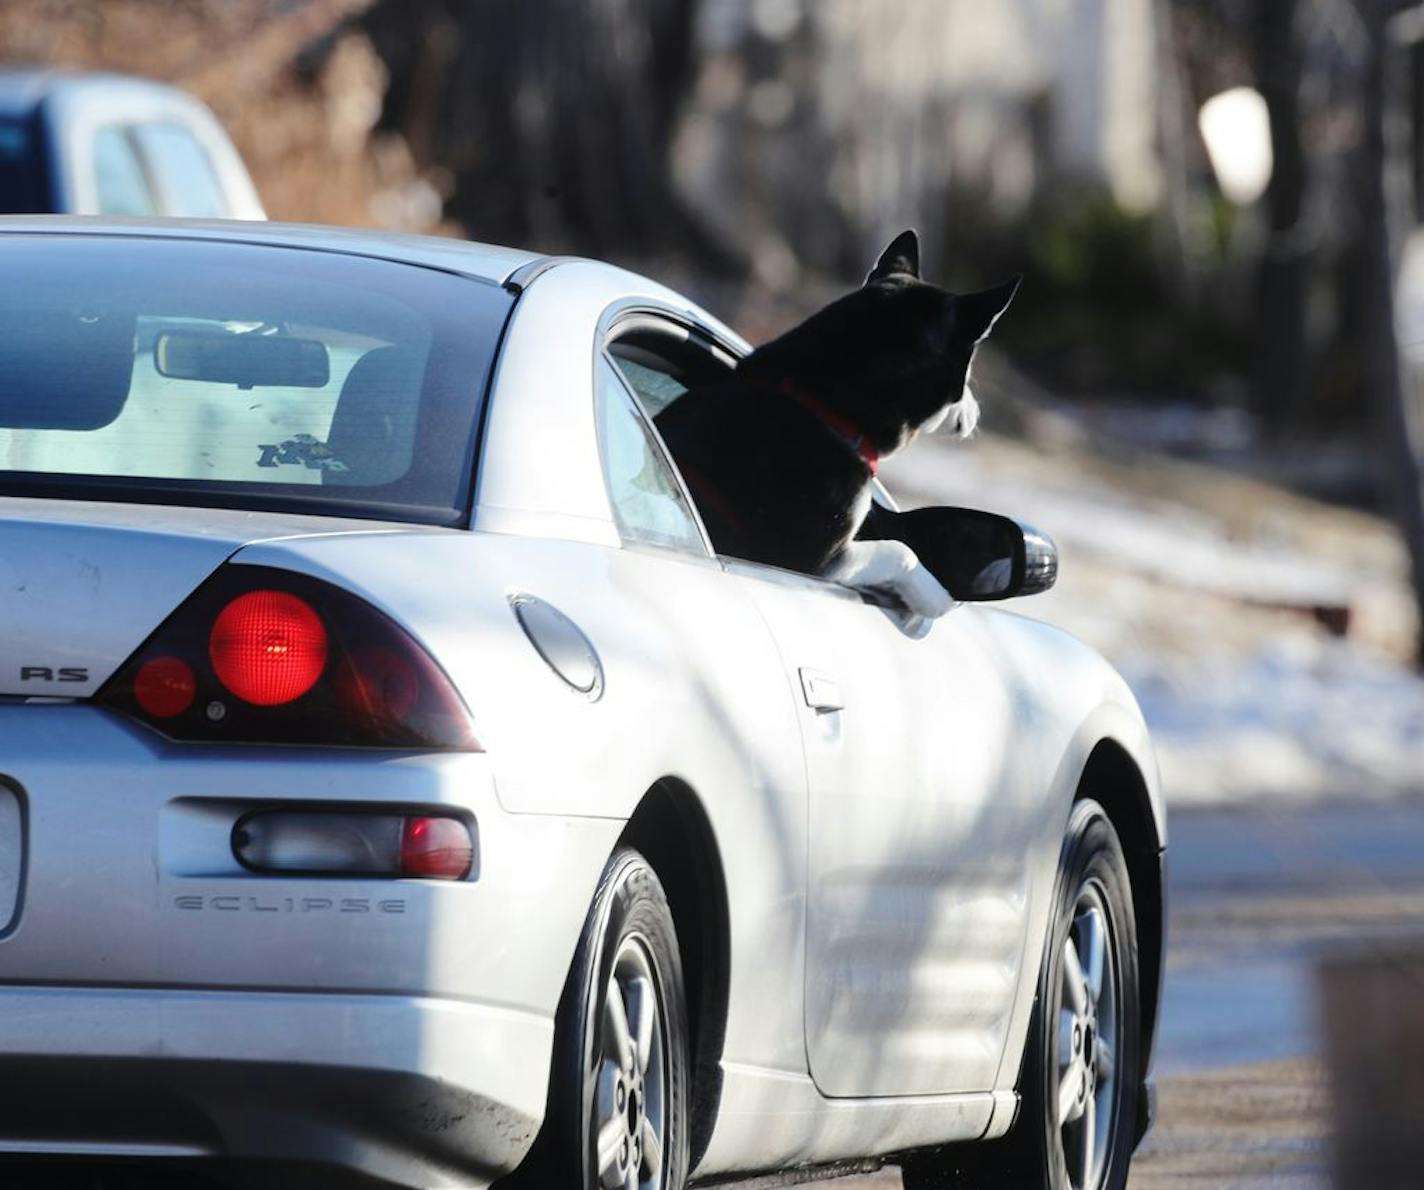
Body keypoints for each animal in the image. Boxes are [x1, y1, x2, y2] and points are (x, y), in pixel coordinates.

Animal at [652, 229, 1019, 626]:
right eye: (970, 367)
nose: (977, 411)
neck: (822, 405)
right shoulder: (809, 560)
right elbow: (899, 549)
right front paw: (935, 596)